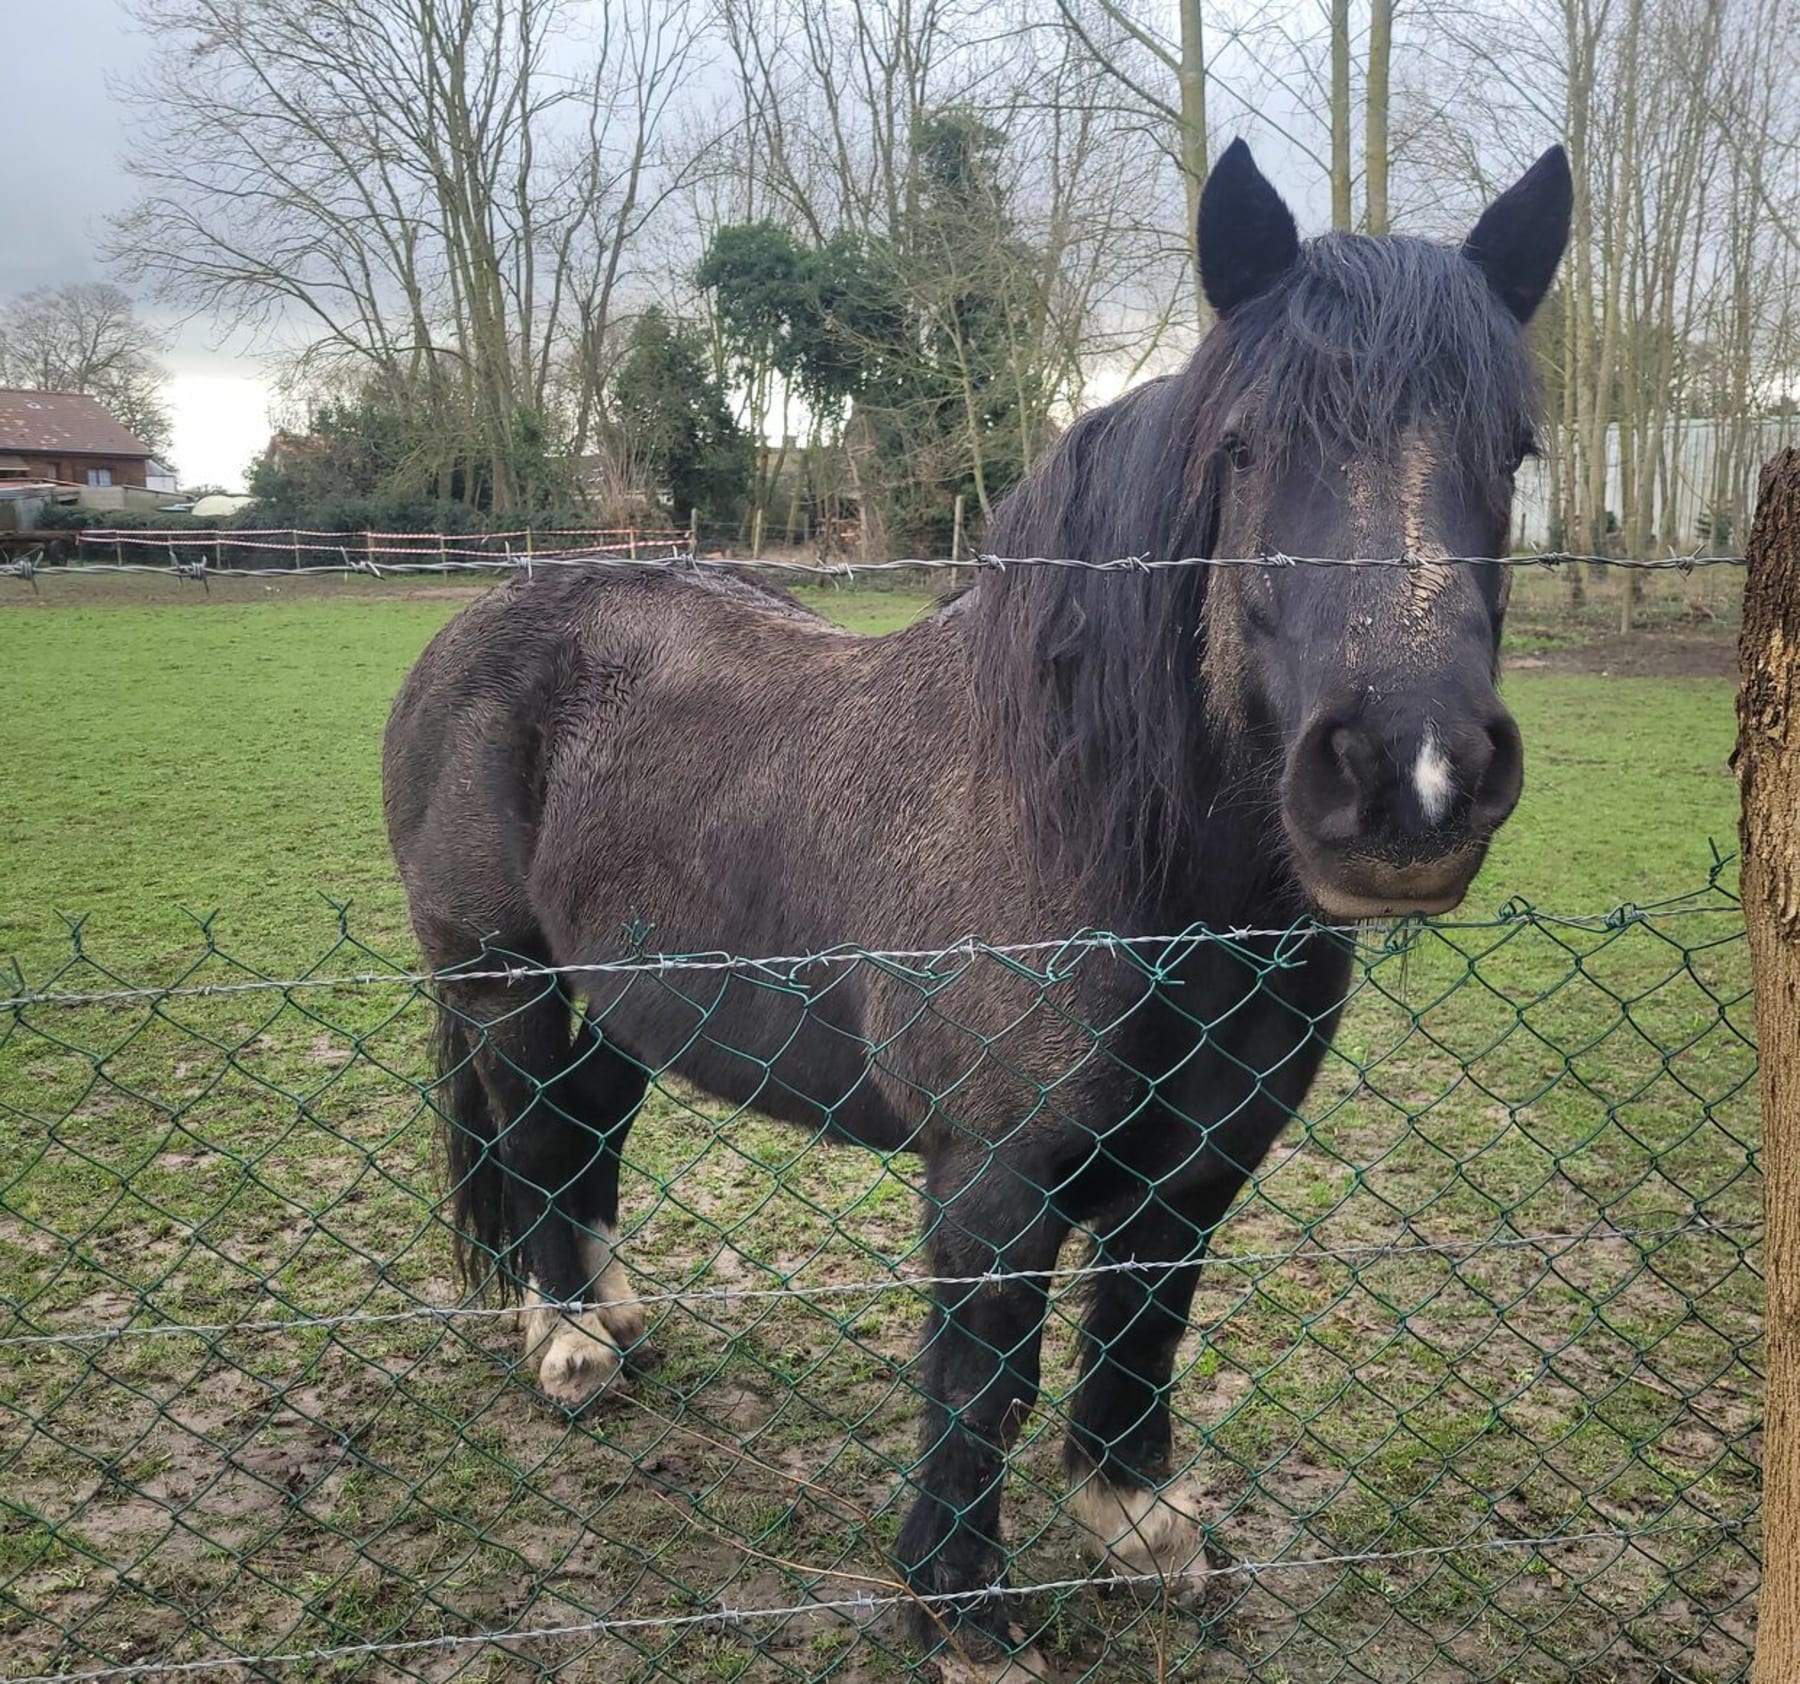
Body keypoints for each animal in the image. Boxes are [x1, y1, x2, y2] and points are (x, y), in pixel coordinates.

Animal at [383, 141, 1576, 1655]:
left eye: (1513, 453)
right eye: (1245, 449)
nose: (1411, 780)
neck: (1119, 860)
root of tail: (483, 623)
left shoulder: (1203, 1166)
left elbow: (1144, 1321)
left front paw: (1136, 1522)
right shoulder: (993, 1179)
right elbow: (983, 1378)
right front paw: (960, 1605)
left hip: (634, 998)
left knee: (586, 1129)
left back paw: (615, 1317)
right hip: (503, 983)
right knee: (537, 1139)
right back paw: (569, 1344)